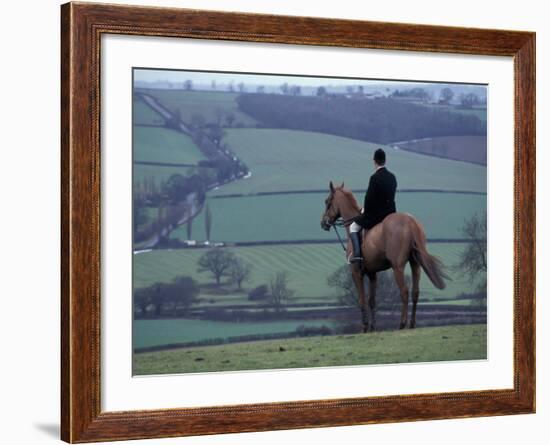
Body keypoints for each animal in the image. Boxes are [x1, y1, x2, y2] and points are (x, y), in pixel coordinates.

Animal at [322, 180, 450, 330]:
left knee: (404, 292)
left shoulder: (356, 272)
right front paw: (373, 327)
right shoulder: (372, 274)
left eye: (327, 201)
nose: (323, 223)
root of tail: (411, 222)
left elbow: (361, 299)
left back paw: (402, 324)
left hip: (397, 267)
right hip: (415, 264)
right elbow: (372, 300)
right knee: (415, 292)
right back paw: (412, 324)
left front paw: (365, 327)